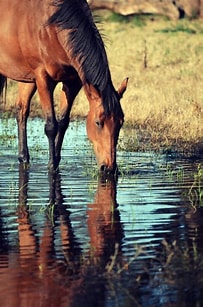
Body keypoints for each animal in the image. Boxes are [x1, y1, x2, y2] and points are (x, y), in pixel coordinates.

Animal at [0, 0, 127, 173]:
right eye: (98, 122)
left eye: (121, 122)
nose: (109, 168)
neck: (52, 27)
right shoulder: (43, 78)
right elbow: (51, 126)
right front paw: (51, 166)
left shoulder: (72, 82)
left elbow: (63, 123)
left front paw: (56, 161)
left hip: (27, 79)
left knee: (22, 111)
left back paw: (23, 158)